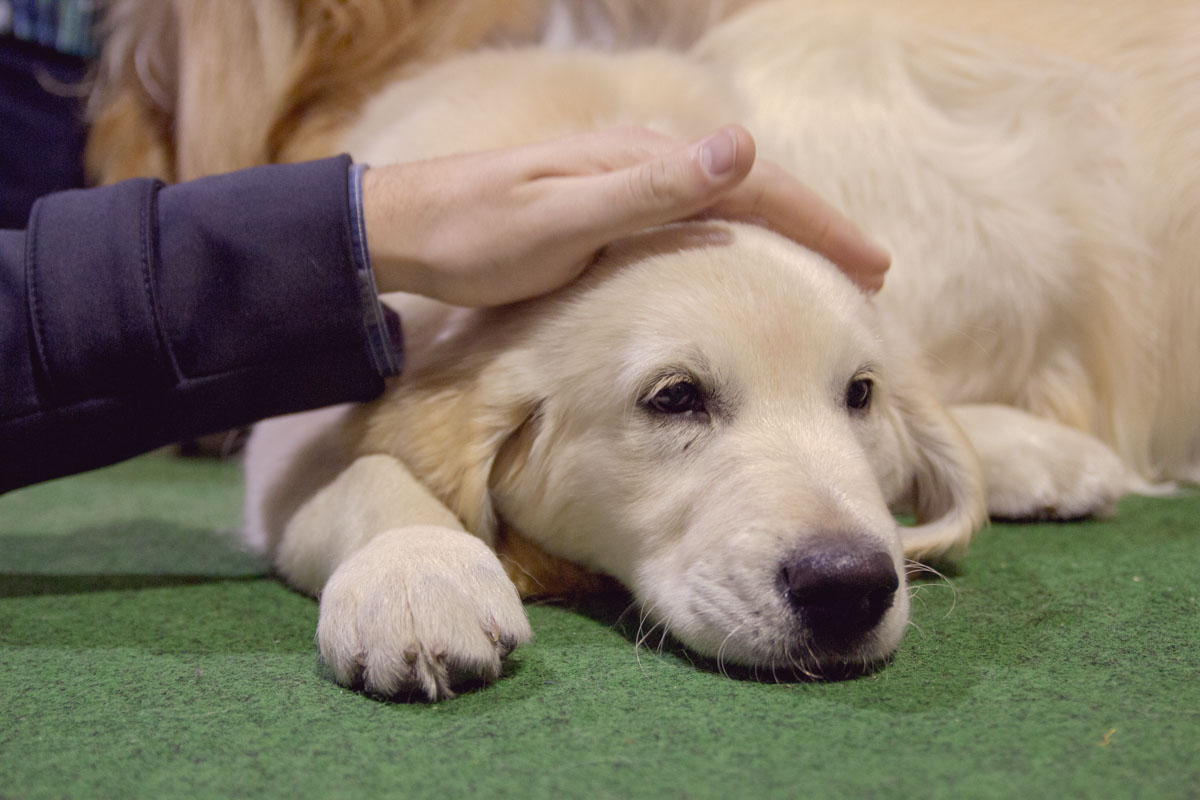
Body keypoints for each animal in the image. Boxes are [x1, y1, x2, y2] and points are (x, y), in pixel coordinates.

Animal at [91, 0, 1200, 695]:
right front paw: (417, 576)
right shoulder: (300, 428)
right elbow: (370, 472)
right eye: (673, 399)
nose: (850, 584)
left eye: (859, 395)